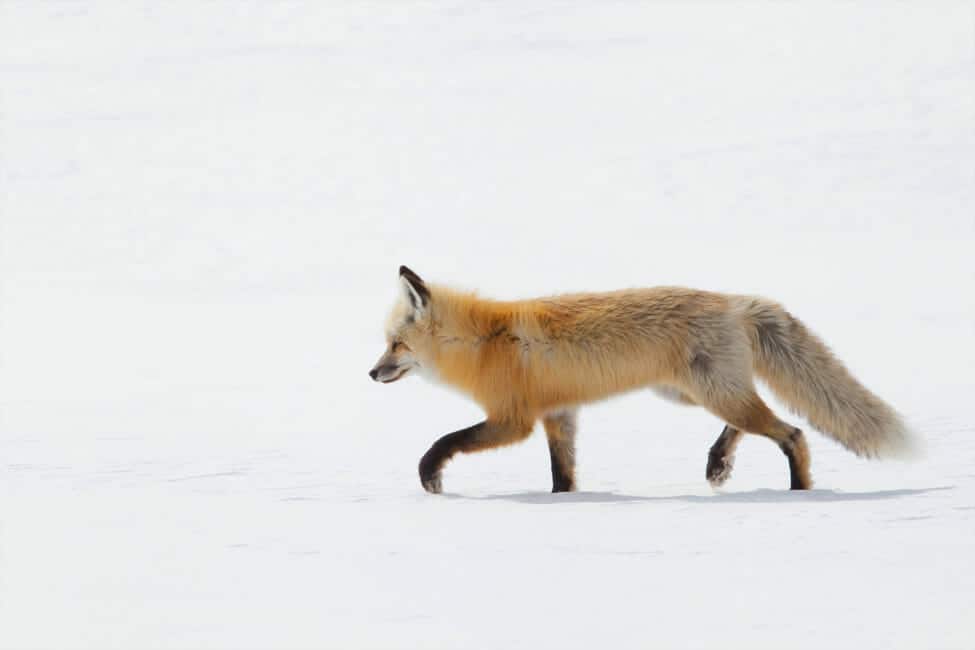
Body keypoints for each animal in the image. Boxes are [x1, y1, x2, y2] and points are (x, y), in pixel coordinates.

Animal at [370, 266, 916, 494]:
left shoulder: (512, 420)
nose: (371, 373)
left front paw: (430, 476)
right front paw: (562, 503)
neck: (485, 341)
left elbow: (445, 441)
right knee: (755, 422)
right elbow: (563, 475)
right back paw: (719, 464)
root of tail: (736, 301)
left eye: (395, 344)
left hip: (709, 393)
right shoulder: (558, 416)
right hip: (692, 393)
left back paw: (802, 493)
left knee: (794, 433)